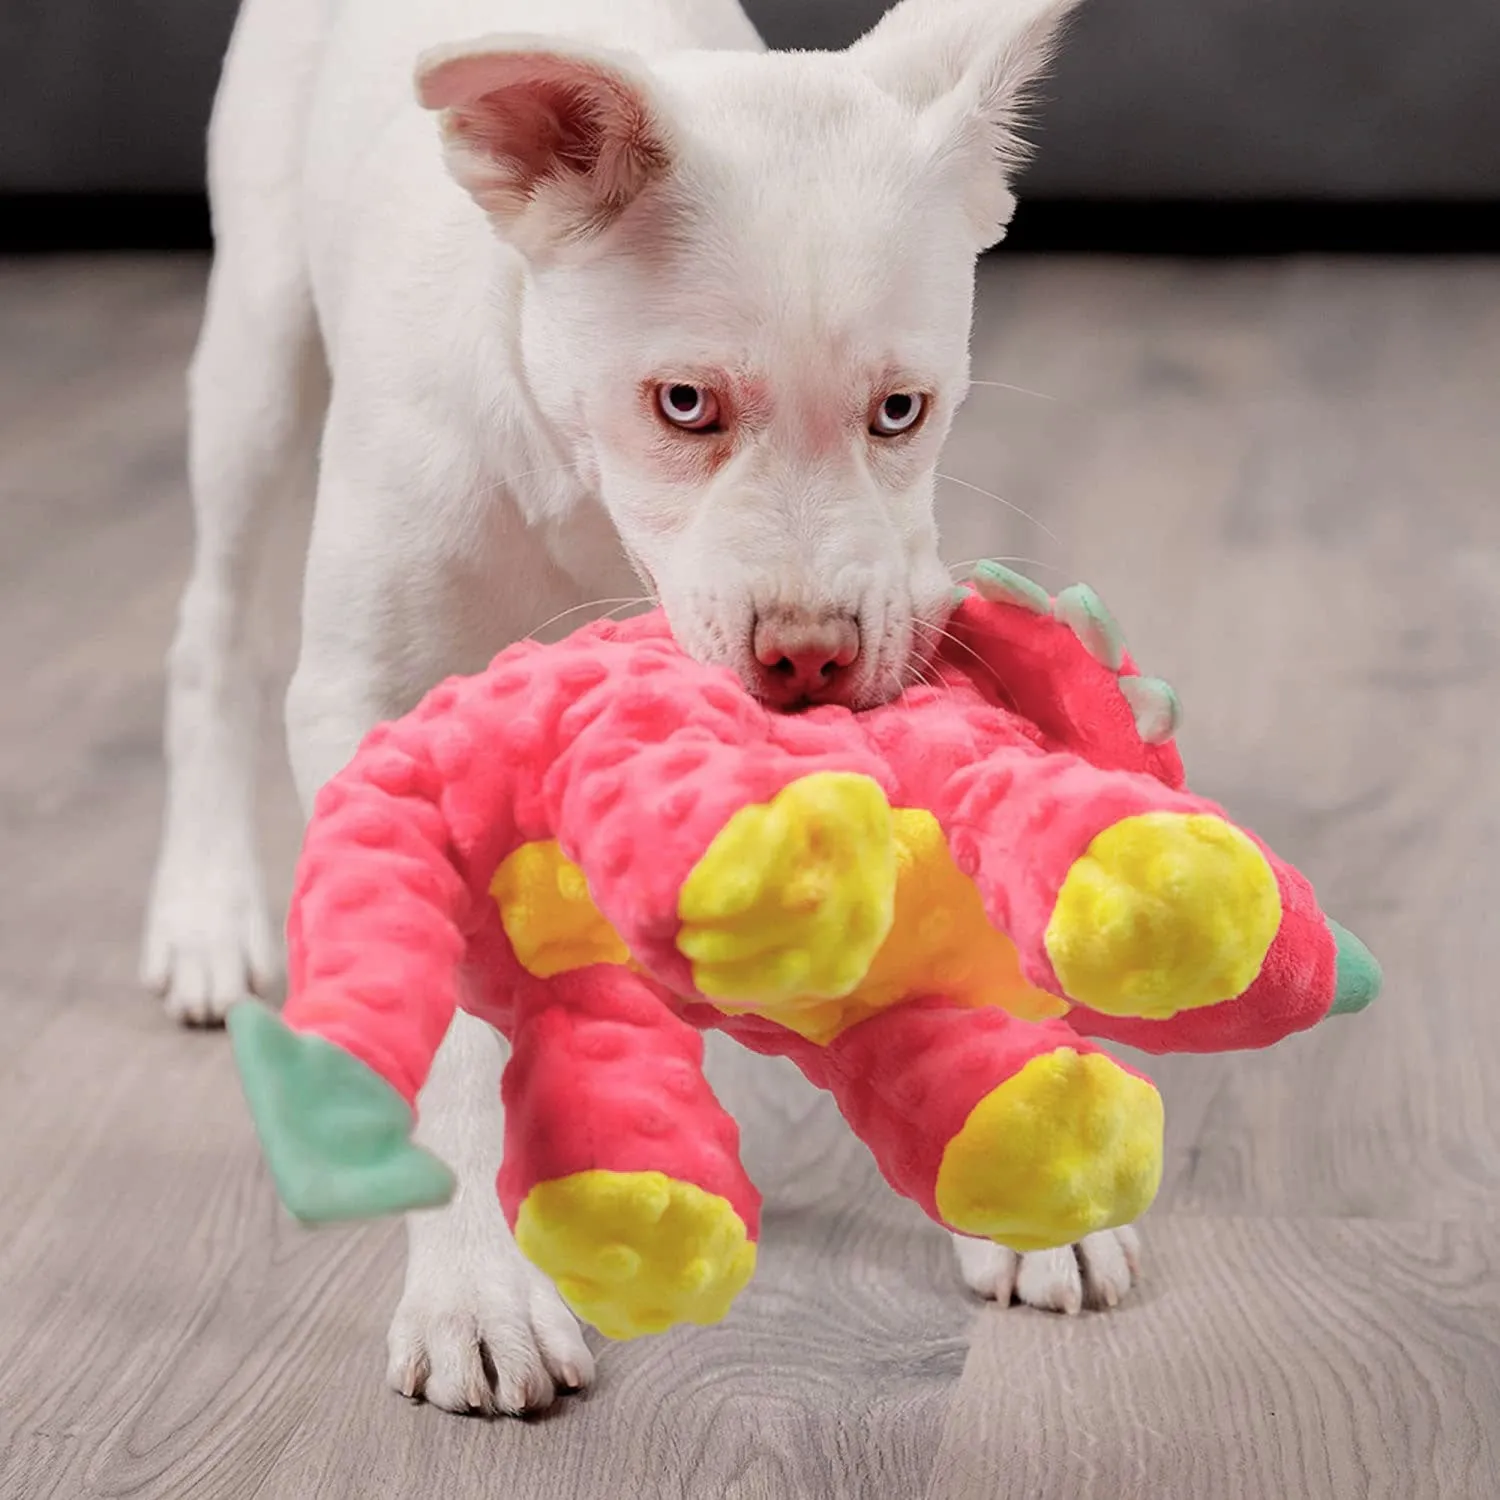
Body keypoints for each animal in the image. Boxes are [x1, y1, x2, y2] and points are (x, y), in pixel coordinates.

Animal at [149, 0, 1134, 1410]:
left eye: (902, 411)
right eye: (684, 404)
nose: (811, 660)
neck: (572, 474)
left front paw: (1016, 1156)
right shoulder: (371, 708)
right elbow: (449, 1029)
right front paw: (477, 1290)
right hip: (255, 352)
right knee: (210, 631)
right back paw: (204, 912)